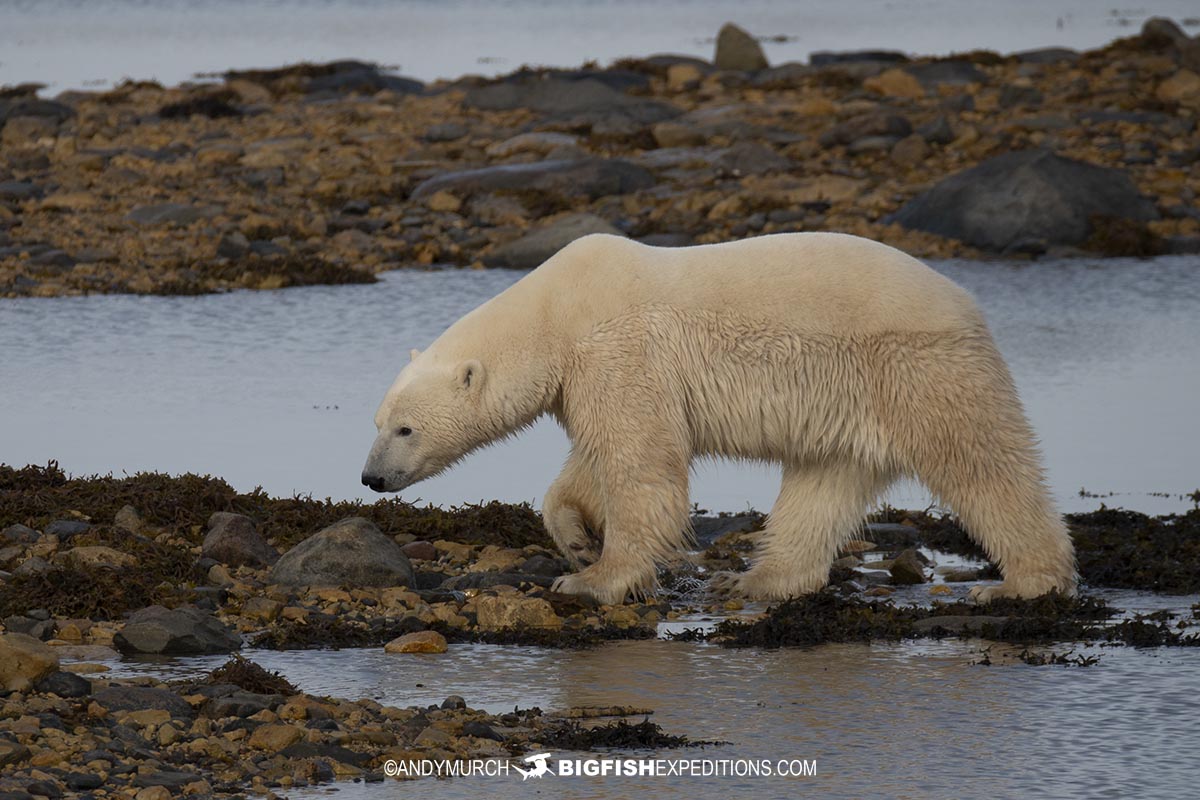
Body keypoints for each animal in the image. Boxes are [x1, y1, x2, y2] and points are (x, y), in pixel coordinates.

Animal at [357, 231, 1080, 606]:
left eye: (404, 429)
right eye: (378, 421)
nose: (370, 478)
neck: (553, 313)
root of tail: (968, 306)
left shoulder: (618, 348)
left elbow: (642, 462)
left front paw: (592, 579)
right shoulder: (593, 375)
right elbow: (597, 460)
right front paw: (577, 540)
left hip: (918, 369)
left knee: (984, 465)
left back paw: (1022, 583)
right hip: (852, 404)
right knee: (823, 483)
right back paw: (759, 577)